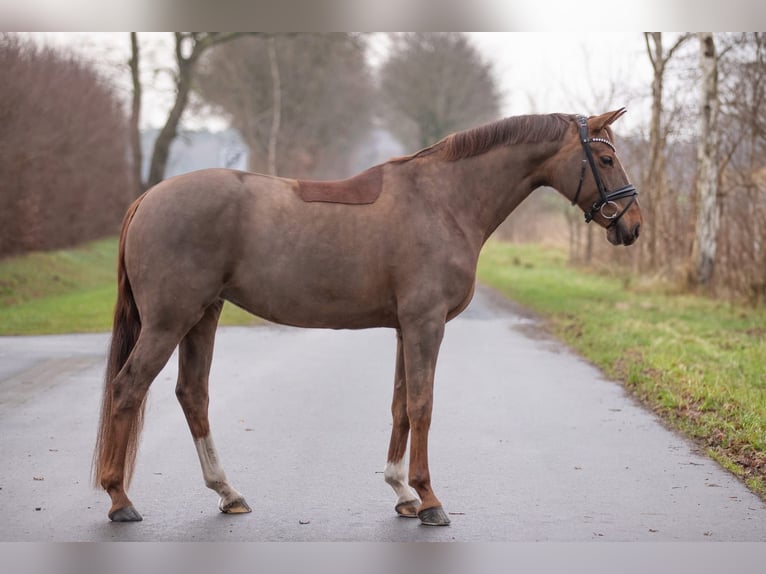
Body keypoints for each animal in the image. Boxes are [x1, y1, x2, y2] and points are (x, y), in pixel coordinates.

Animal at [93, 108, 644, 528]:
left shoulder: (406, 327)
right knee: (128, 389)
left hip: (203, 316)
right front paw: (430, 500)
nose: (633, 226)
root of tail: (148, 198)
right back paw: (119, 500)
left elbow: (401, 405)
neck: (444, 200)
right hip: (170, 321)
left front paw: (403, 495)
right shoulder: (426, 324)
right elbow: (422, 405)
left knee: (193, 395)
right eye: (605, 158)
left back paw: (228, 494)